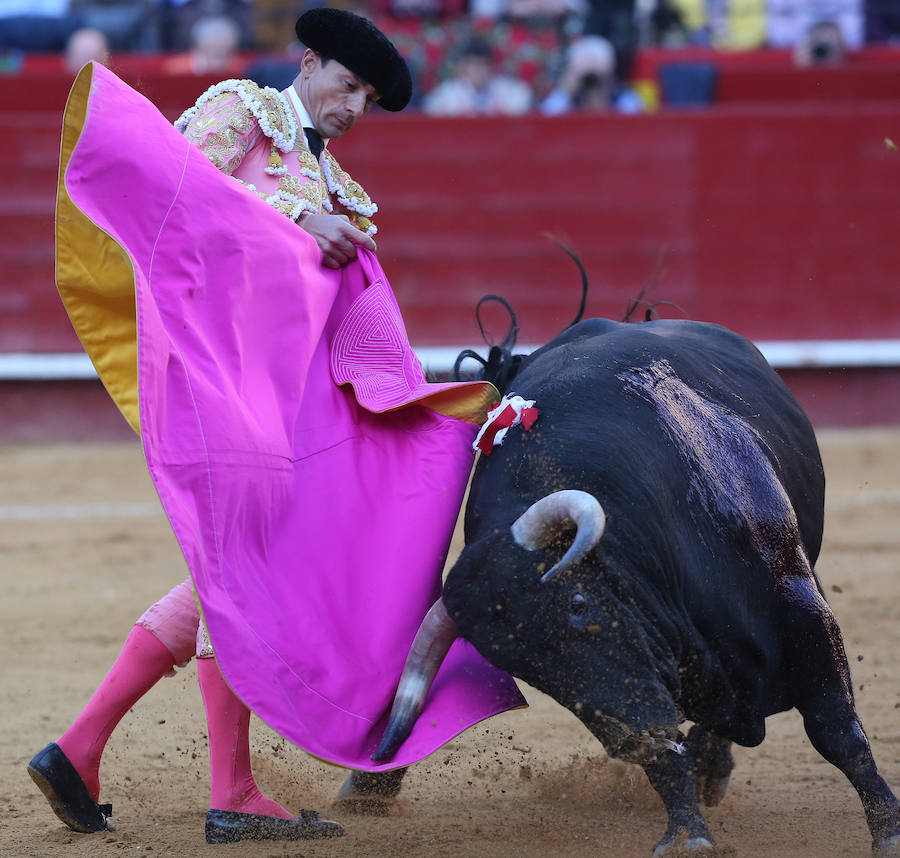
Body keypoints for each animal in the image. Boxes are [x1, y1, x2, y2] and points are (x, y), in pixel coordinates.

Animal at [366, 310, 900, 852]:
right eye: (524, 668)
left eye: (578, 603)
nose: (632, 738)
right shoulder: (639, 696)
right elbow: (666, 758)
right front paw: (687, 836)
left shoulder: (801, 611)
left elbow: (838, 732)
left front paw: (889, 831)